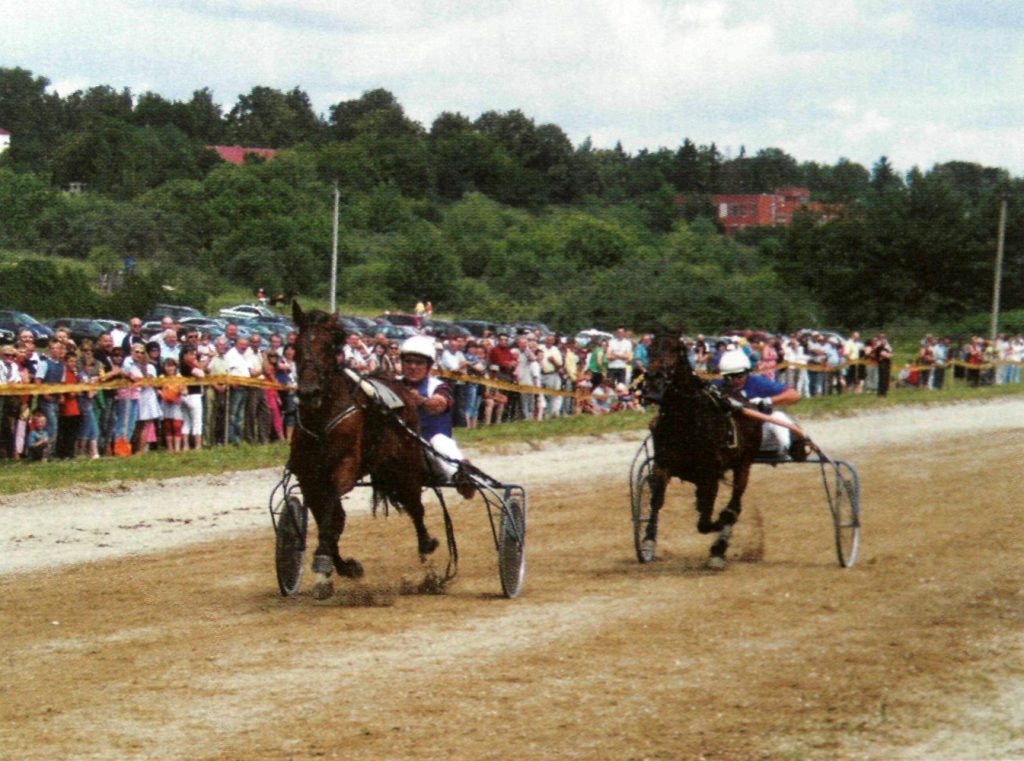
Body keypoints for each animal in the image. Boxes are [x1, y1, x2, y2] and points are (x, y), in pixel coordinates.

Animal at [288, 303, 436, 602]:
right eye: (296, 346)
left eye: (329, 346)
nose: (309, 392)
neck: (321, 419)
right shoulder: (309, 478)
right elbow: (328, 520)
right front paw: (342, 568)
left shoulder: (344, 468)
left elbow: (331, 513)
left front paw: (323, 560)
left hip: (405, 468)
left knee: (416, 508)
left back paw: (428, 558)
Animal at [643, 329, 765, 569]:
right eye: (650, 348)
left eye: (675, 348)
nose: (653, 382)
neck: (685, 419)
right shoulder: (663, 466)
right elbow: (656, 501)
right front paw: (648, 543)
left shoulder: (710, 474)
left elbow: (708, 520)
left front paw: (720, 530)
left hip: (743, 465)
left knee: (735, 504)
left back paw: (720, 545)